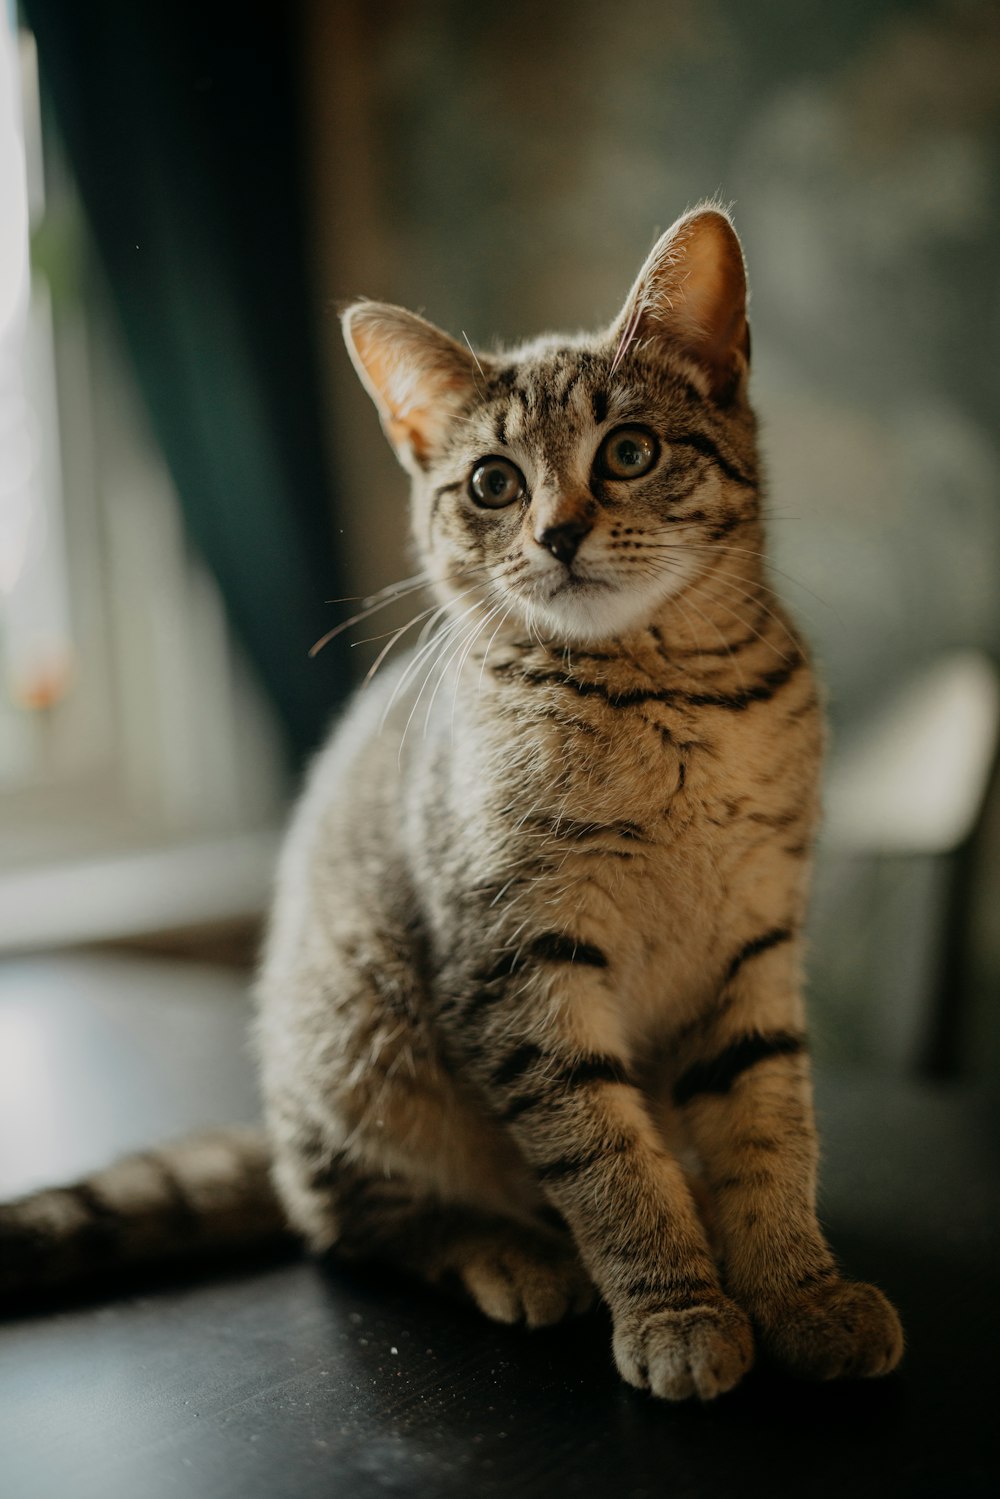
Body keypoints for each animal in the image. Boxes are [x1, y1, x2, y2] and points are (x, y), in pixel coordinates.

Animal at [0, 205, 905, 1397]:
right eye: (492, 484)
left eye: (629, 451)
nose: (558, 532)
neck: (664, 702)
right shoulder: (513, 957)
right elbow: (605, 1154)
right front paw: (676, 1303)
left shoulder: (756, 940)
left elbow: (769, 1132)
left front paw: (798, 1289)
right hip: (361, 1049)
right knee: (359, 1220)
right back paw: (514, 1252)